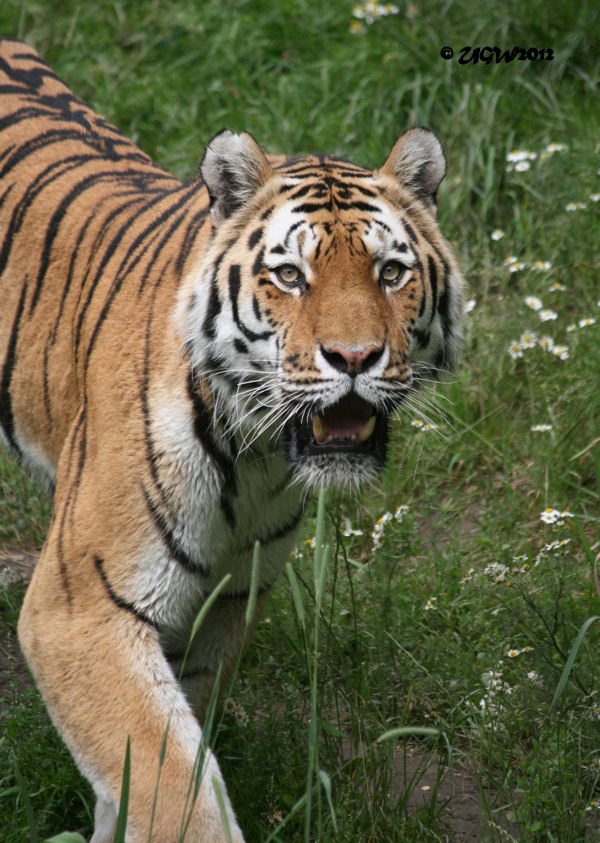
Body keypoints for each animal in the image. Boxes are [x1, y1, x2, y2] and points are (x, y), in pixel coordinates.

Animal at [0, 38, 464, 843]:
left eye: (391, 272)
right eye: (291, 275)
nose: (354, 357)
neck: (253, 460)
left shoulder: (222, 603)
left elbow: (148, 766)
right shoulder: (79, 610)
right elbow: (173, 787)